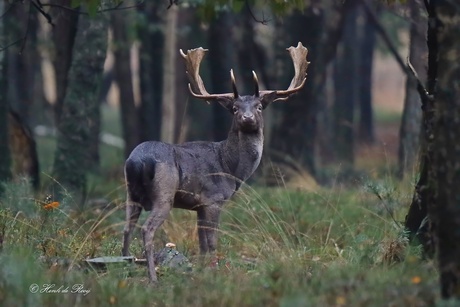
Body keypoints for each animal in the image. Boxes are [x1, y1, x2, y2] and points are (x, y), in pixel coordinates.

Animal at [121, 41, 310, 284]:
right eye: (235, 108)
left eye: (258, 106)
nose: (247, 118)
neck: (230, 167)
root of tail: (137, 161)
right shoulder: (213, 199)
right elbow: (211, 242)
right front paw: (214, 273)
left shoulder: (199, 205)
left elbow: (202, 243)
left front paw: (201, 272)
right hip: (164, 192)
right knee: (147, 229)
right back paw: (153, 278)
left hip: (130, 192)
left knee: (127, 228)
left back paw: (126, 266)